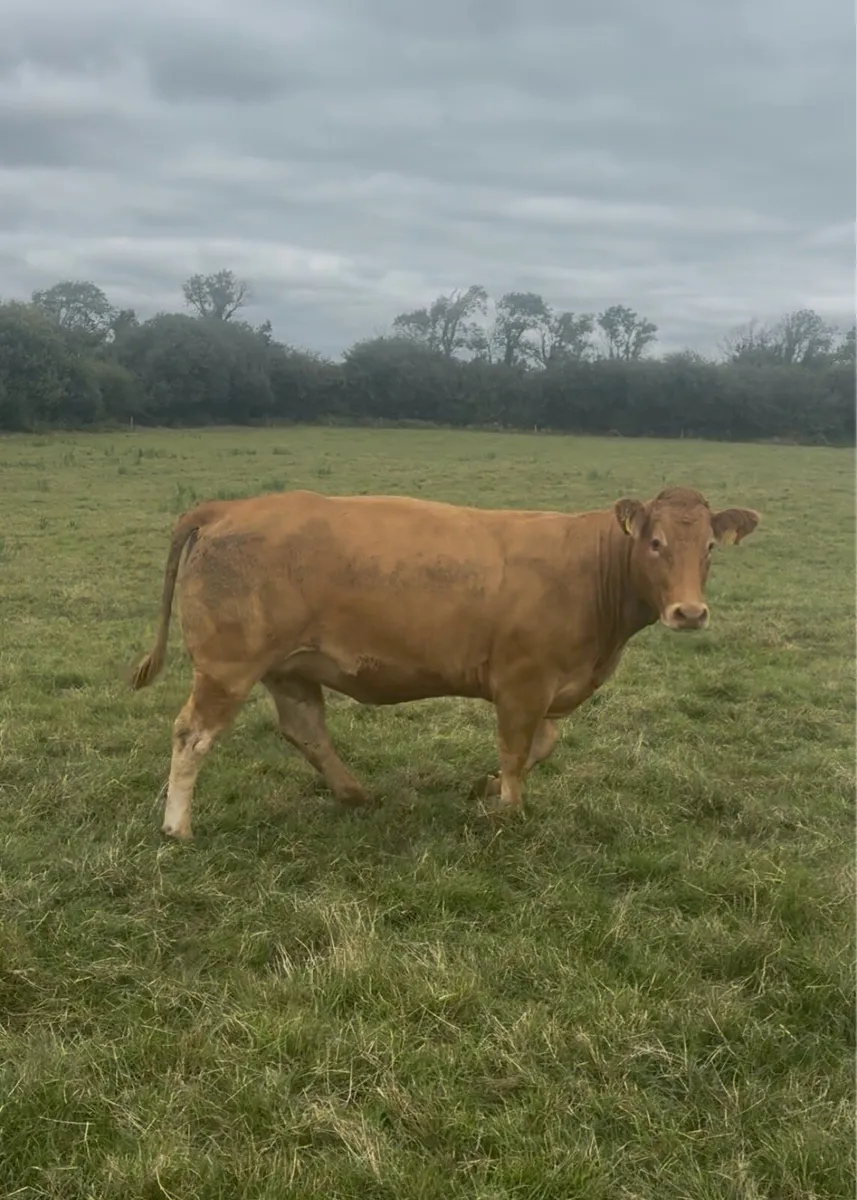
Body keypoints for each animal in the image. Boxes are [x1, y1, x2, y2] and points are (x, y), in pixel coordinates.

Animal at [130, 485, 759, 839]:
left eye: (708, 547)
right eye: (655, 543)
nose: (689, 612)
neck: (590, 568)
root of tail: (229, 508)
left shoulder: (547, 688)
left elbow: (542, 744)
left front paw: (484, 788)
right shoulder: (523, 681)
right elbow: (516, 749)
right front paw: (507, 810)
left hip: (290, 668)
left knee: (305, 730)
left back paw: (353, 794)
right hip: (227, 667)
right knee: (192, 734)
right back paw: (177, 826)